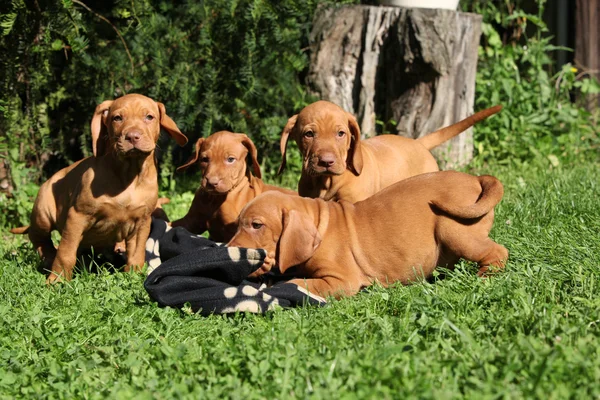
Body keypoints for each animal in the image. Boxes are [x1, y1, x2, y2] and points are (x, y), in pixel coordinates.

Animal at [12, 93, 190, 282]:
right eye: (117, 118)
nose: (132, 136)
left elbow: (136, 253)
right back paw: (48, 258)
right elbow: (66, 253)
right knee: (39, 237)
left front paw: (133, 276)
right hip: (43, 213)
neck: (129, 174)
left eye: (149, 117)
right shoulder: (77, 216)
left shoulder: (142, 221)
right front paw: (57, 280)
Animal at [227, 170, 508, 298]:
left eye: (256, 225)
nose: (228, 250)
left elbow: (299, 283)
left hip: (456, 231)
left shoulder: (341, 280)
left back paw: (484, 277)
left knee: (498, 252)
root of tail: (476, 178)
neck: (319, 222)